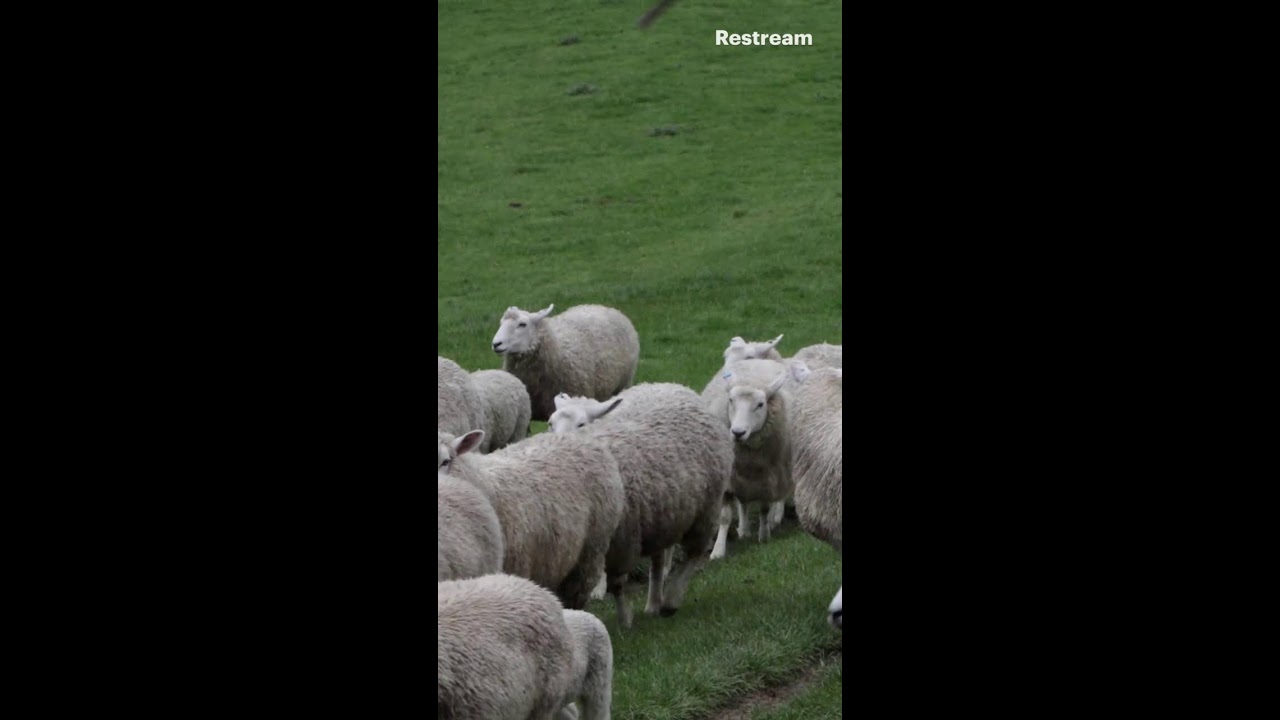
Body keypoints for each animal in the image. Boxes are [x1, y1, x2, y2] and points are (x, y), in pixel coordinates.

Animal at [548, 382, 731, 625]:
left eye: (581, 424)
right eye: (550, 423)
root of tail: (667, 385)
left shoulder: (624, 536)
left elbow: (616, 584)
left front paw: (624, 620)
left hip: (705, 507)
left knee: (693, 555)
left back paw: (670, 599)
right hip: (663, 511)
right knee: (659, 559)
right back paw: (653, 602)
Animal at [701, 359, 806, 559]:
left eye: (760, 404)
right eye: (731, 401)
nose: (738, 432)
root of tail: (760, 360)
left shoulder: (767, 480)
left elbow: (765, 509)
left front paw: (764, 536)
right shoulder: (729, 479)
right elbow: (725, 516)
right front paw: (718, 550)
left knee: (776, 499)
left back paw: (774, 519)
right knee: (743, 503)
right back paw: (743, 529)